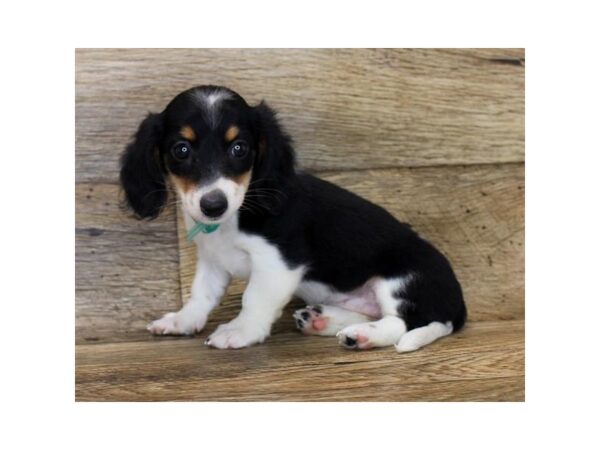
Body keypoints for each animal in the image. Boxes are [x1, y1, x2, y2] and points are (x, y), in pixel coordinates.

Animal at [120, 84, 468, 352]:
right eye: (181, 149)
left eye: (239, 148)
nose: (213, 205)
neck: (238, 214)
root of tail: (458, 305)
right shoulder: (212, 260)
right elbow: (201, 295)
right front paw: (183, 320)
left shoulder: (278, 263)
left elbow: (254, 298)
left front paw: (240, 331)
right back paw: (323, 321)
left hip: (402, 280)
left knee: (402, 323)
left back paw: (363, 336)